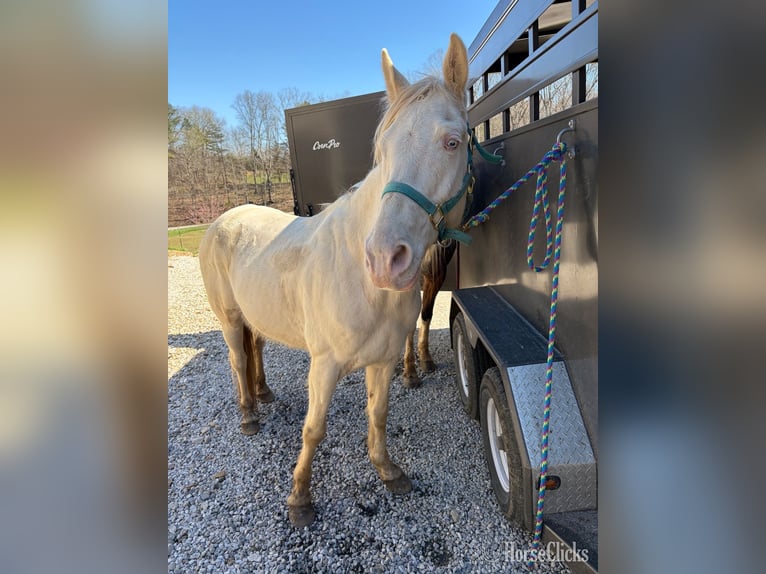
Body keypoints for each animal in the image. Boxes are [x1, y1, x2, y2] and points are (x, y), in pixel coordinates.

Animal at [199, 33, 470, 528]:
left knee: (256, 347)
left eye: (452, 142)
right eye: (383, 151)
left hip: (256, 314)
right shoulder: (323, 366)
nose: (384, 259)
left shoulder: (382, 361)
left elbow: (378, 415)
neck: (364, 285)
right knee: (236, 359)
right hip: (228, 318)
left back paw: (264, 393)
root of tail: (223, 219)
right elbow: (314, 430)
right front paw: (300, 499)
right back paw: (248, 414)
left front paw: (388, 472)